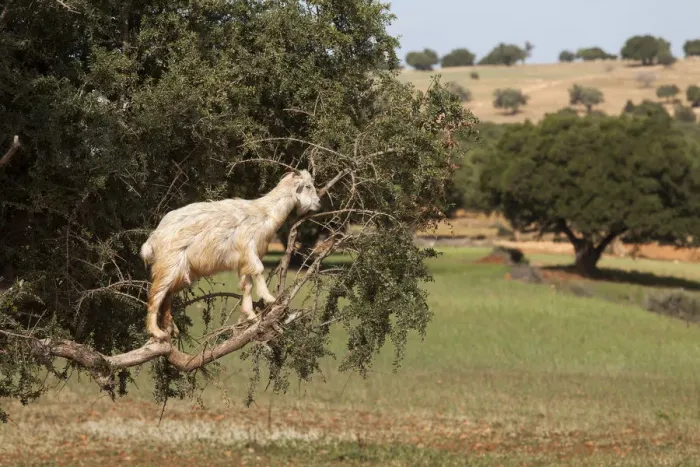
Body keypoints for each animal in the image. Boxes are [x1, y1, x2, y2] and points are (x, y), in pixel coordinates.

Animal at [139, 170, 321, 340]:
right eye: (307, 186)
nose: (319, 203)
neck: (264, 212)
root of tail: (153, 238)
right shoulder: (249, 248)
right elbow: (259, 270)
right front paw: (269, 298)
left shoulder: (243, 260)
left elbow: (247, 284)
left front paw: (251, 315)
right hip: (169, 264)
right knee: (156, 295)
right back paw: (157, 332)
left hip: (180, 270)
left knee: (167, 296)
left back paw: (171, 328)